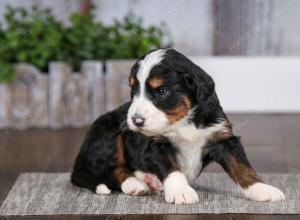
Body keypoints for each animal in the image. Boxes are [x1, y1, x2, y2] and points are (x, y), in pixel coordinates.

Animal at [71, 48, 284, 205]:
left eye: (162, 91)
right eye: (133, 89)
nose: (136, 121)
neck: (183, 121)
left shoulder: (223, 138)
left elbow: (242, 166)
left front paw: (261, 189)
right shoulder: (155, 144)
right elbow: (171, 168)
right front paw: (181, 191)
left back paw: (148, 179)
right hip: (107, 131)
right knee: (111, 170)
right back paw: (135, 184)